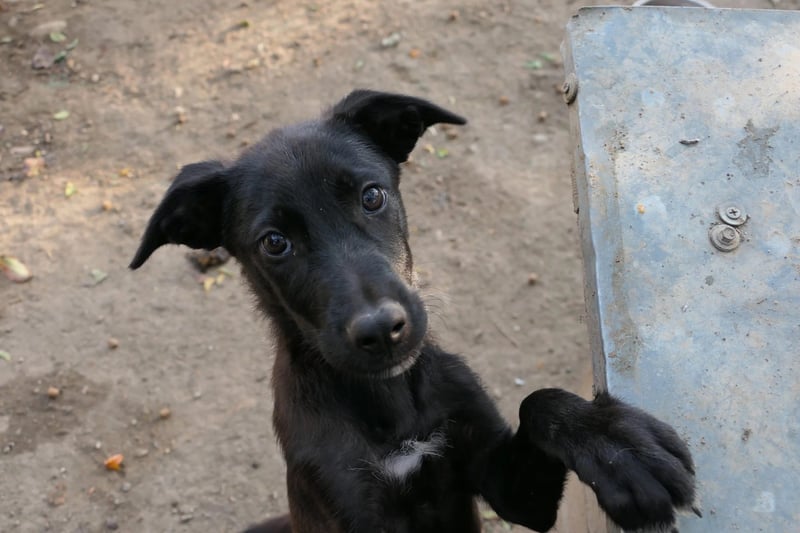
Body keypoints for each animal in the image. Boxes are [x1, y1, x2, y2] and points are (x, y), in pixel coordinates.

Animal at [130, 90, 696, 532]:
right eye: (274, 243)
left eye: (372, 196)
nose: (382, 331)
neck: (391, 406)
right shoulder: (351, 503)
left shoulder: (508, 486)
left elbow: (537, 402)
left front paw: (615, 441)